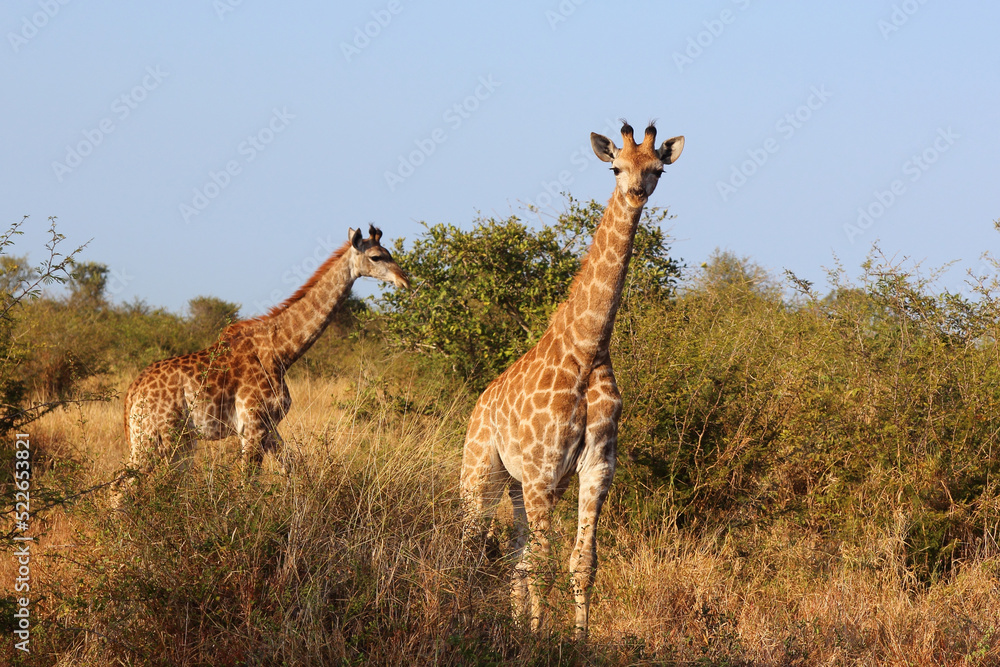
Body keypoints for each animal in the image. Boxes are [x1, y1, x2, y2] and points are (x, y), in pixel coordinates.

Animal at [116, 225, 409, 499]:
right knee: (124, 487)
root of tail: (132, 392)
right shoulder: (253, 426)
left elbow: (292, 467)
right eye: (376, 256)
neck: (281, 351)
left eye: (390, 253)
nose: (404, 280)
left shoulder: (269, 427)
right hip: (157, 437)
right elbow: (247, 485)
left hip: (176, 441)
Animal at [460, 121, 684, 638]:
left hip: (522, 486)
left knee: (516, 554)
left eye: (658, 169)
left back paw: (514, 624)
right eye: (615, 167)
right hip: (482, 473)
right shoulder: (543, 468)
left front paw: (576, 640)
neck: (588, 348)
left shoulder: (596, 467)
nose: (636, 191)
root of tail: (479, 404)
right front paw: (541, 640)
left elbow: (583, 562)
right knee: (473, 543)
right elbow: (544, 563)